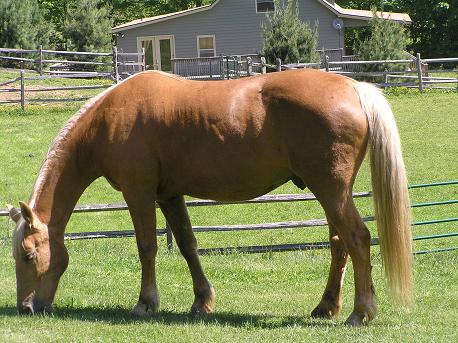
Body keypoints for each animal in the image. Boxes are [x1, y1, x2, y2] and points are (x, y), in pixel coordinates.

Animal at [7, 68, 414, 326]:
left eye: (28, 255)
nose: (27, 308)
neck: (110, 117)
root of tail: (354, 88)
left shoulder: (139, 193)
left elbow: (146, 247)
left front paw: (145, 304)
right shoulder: (169, 195)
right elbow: (188, 245)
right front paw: (202, 301)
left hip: (330, 189)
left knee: (357, 239)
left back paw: (360, 313)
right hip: (329, 191)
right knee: (339, 243)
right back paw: (326, 307)